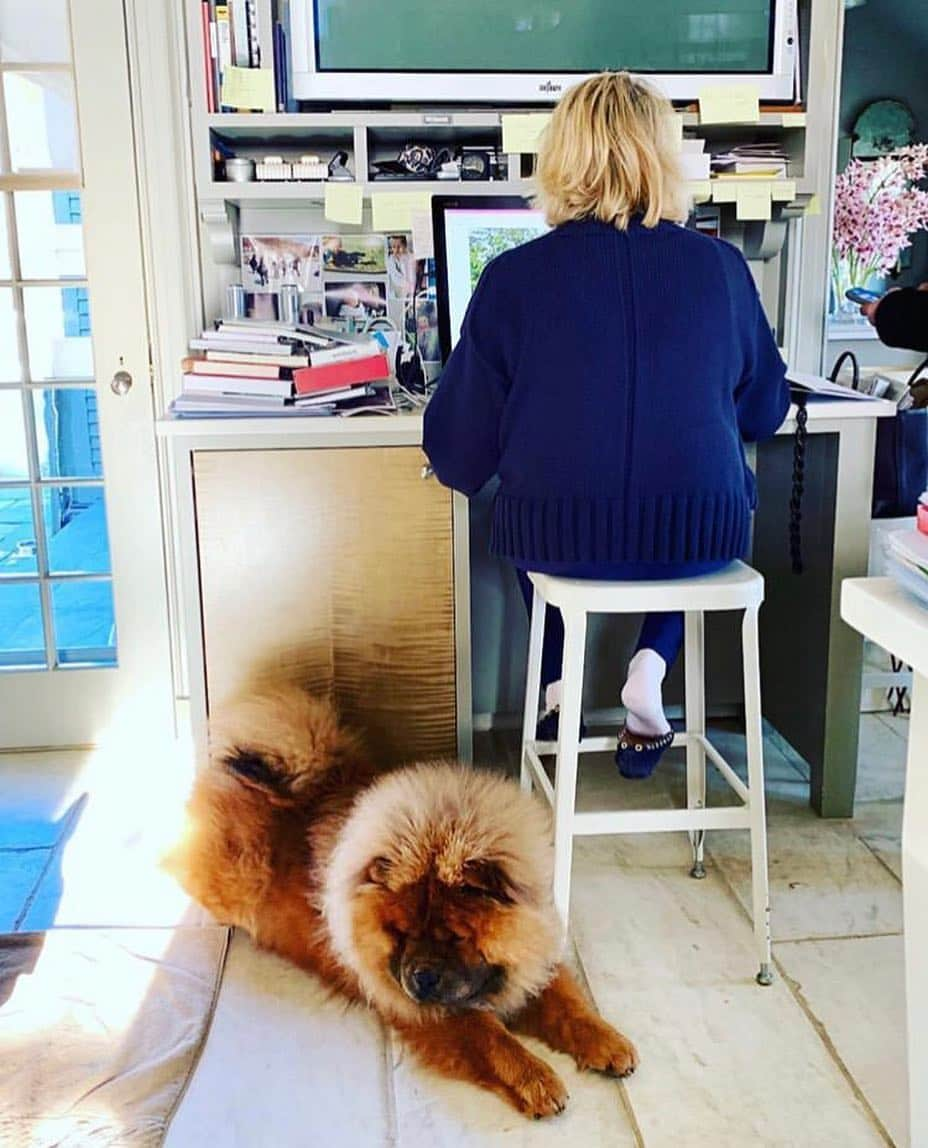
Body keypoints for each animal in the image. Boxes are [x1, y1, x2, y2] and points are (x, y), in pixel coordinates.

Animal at [168, 684, 638, 1115]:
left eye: (456, 936)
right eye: (400, 932)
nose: (420, 978)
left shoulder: (532, 957)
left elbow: (567, 1004)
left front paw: (607, 1042)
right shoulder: (430, 1011)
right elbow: (491, 1038)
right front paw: (537, 1080)